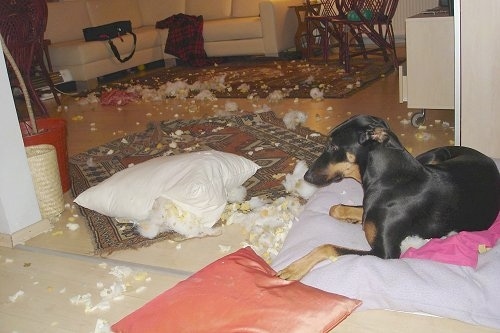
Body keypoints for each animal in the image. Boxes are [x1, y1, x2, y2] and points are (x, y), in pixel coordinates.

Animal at [278, 115, 500, 278]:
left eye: (333, 146)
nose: (306, 176)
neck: (388, 178)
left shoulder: (384, 254)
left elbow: (328, 246)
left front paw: (293, 269)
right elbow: (336, 208)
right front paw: (351, 218)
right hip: (435, 155)